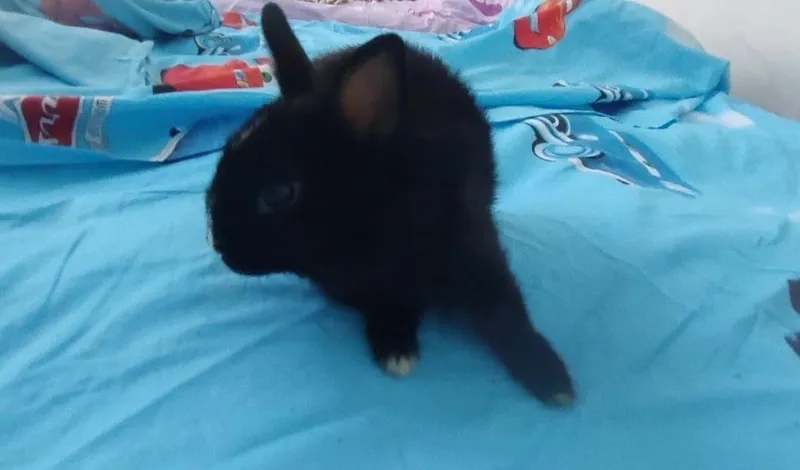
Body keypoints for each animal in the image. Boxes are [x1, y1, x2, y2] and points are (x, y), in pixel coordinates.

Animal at [206, 3, 575, 407]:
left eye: (278, 194)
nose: (218, 245)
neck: (372, 220)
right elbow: (390, 307)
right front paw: (396, 351)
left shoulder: (478, 254)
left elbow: (503, 314)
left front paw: (552, 381)